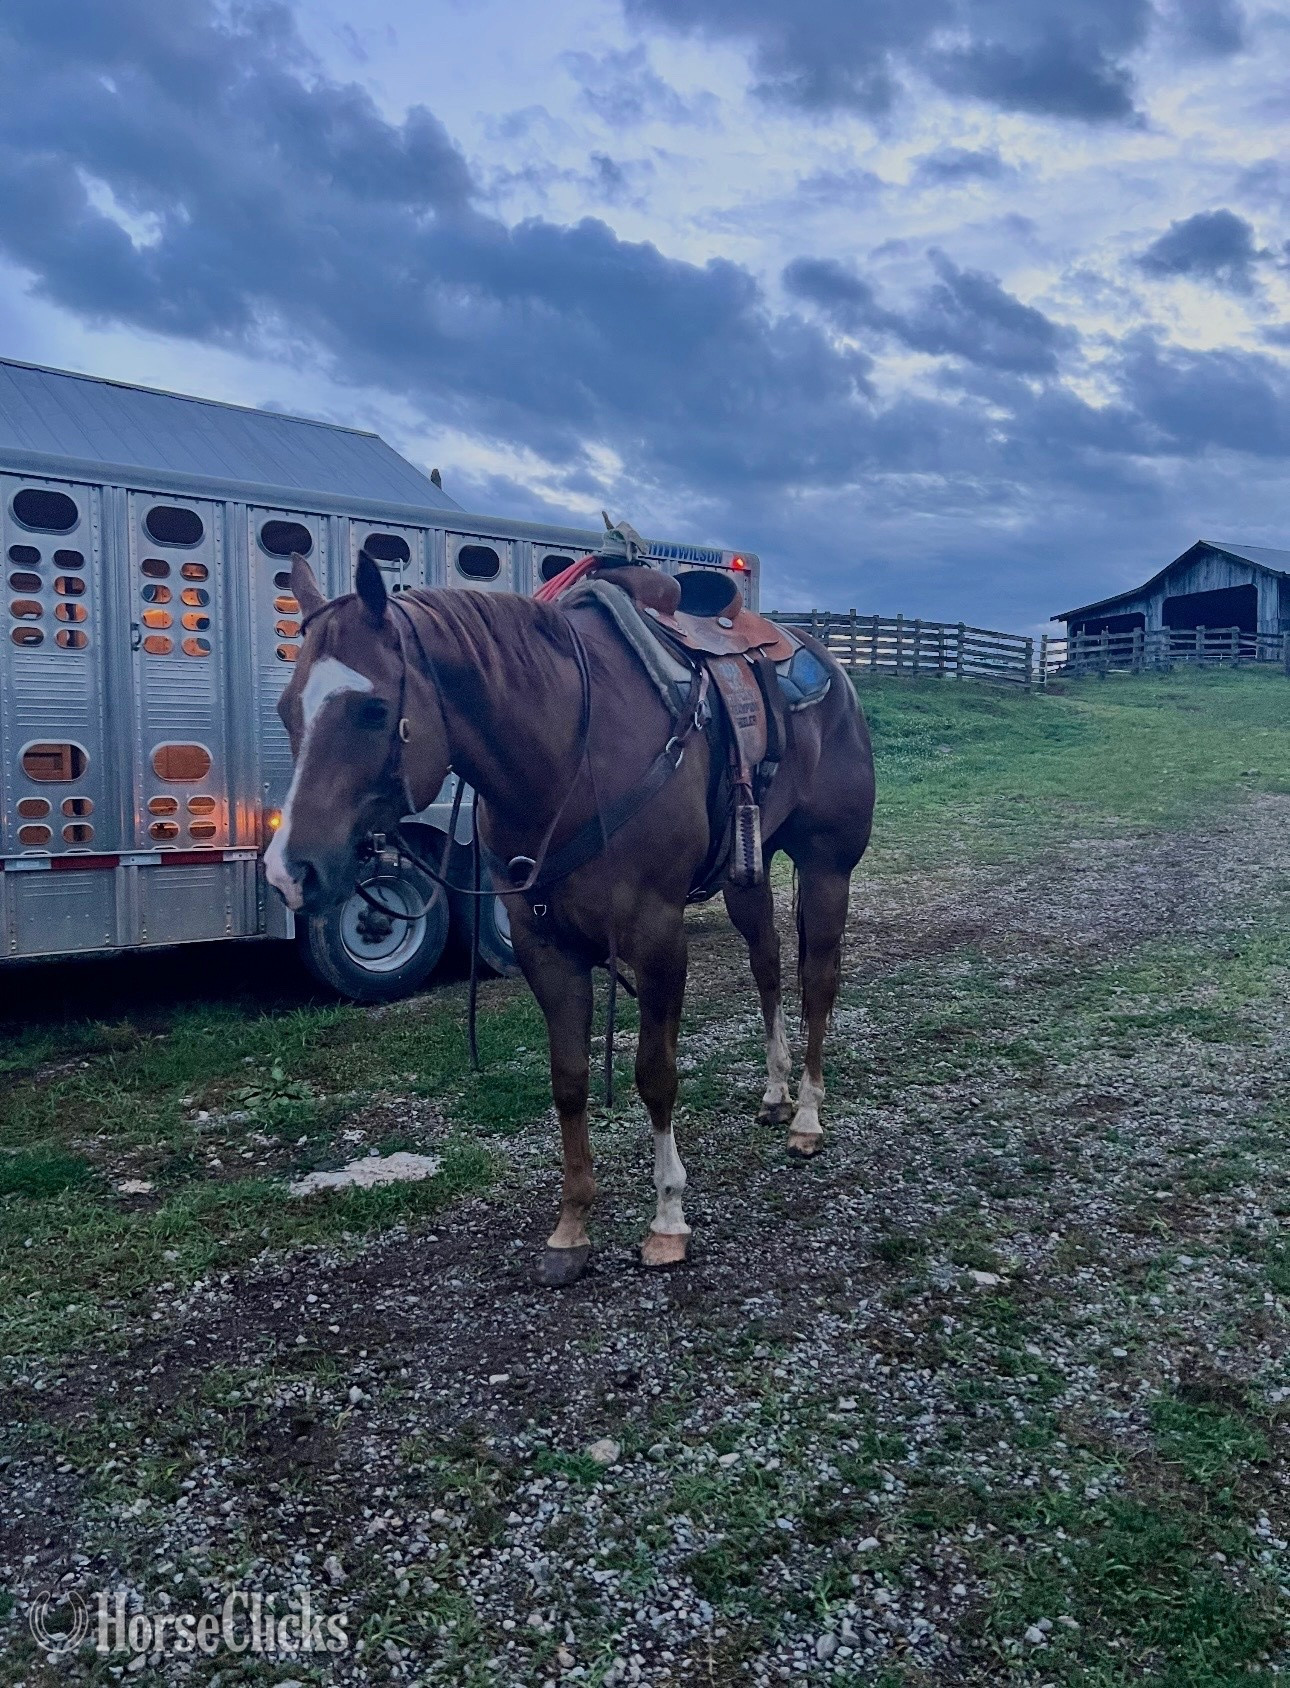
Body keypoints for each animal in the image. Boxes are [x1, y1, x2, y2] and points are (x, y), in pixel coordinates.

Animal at [265, 552, 875, 1286]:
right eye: (286, 709)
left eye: (374, 708)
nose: (288, 872)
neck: (567, 761)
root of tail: (830, 665)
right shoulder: (544, 945)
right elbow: (569, 1080)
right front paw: (572, 1227)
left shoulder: (657, 936)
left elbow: (654, 1076)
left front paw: (667, 1220)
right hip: (745, 876)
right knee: (769, 970)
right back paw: (776, 1091)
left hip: (826, 867)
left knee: (818, 982)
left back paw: (806, 1117)